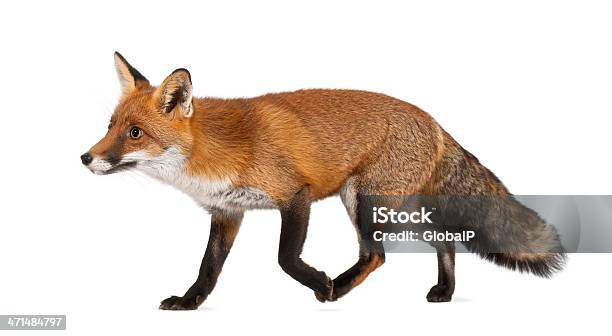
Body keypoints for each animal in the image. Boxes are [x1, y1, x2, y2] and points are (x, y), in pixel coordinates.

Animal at [80, 52, 564, 310]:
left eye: (135, 133)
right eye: (110, 126)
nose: (86, 158)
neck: (210, 153)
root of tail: (432, 120)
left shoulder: (296, 195)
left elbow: (285, 257)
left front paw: (320, 282)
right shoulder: (227, 211)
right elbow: (208, 268)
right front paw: (189, 303)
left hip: (367, 201)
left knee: (378, 255)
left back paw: (341, 288)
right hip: (396, 205)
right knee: (443, 238)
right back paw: (445, 291)